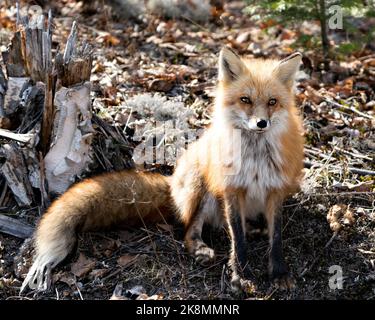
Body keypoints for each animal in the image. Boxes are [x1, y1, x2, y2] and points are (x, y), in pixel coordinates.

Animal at [20, 46, 304, 294]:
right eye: (245, 100)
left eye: (272, 102)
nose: (261, 123)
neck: (255, 158)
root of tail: (172, 182)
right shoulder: (231, 189)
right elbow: (237, 238)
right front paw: (241, 275)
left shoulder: (275, 190)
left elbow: (275, 237)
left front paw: (279, 273)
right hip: (201, 185)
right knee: (191, 229)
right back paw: (200, 249)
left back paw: (254, 228)